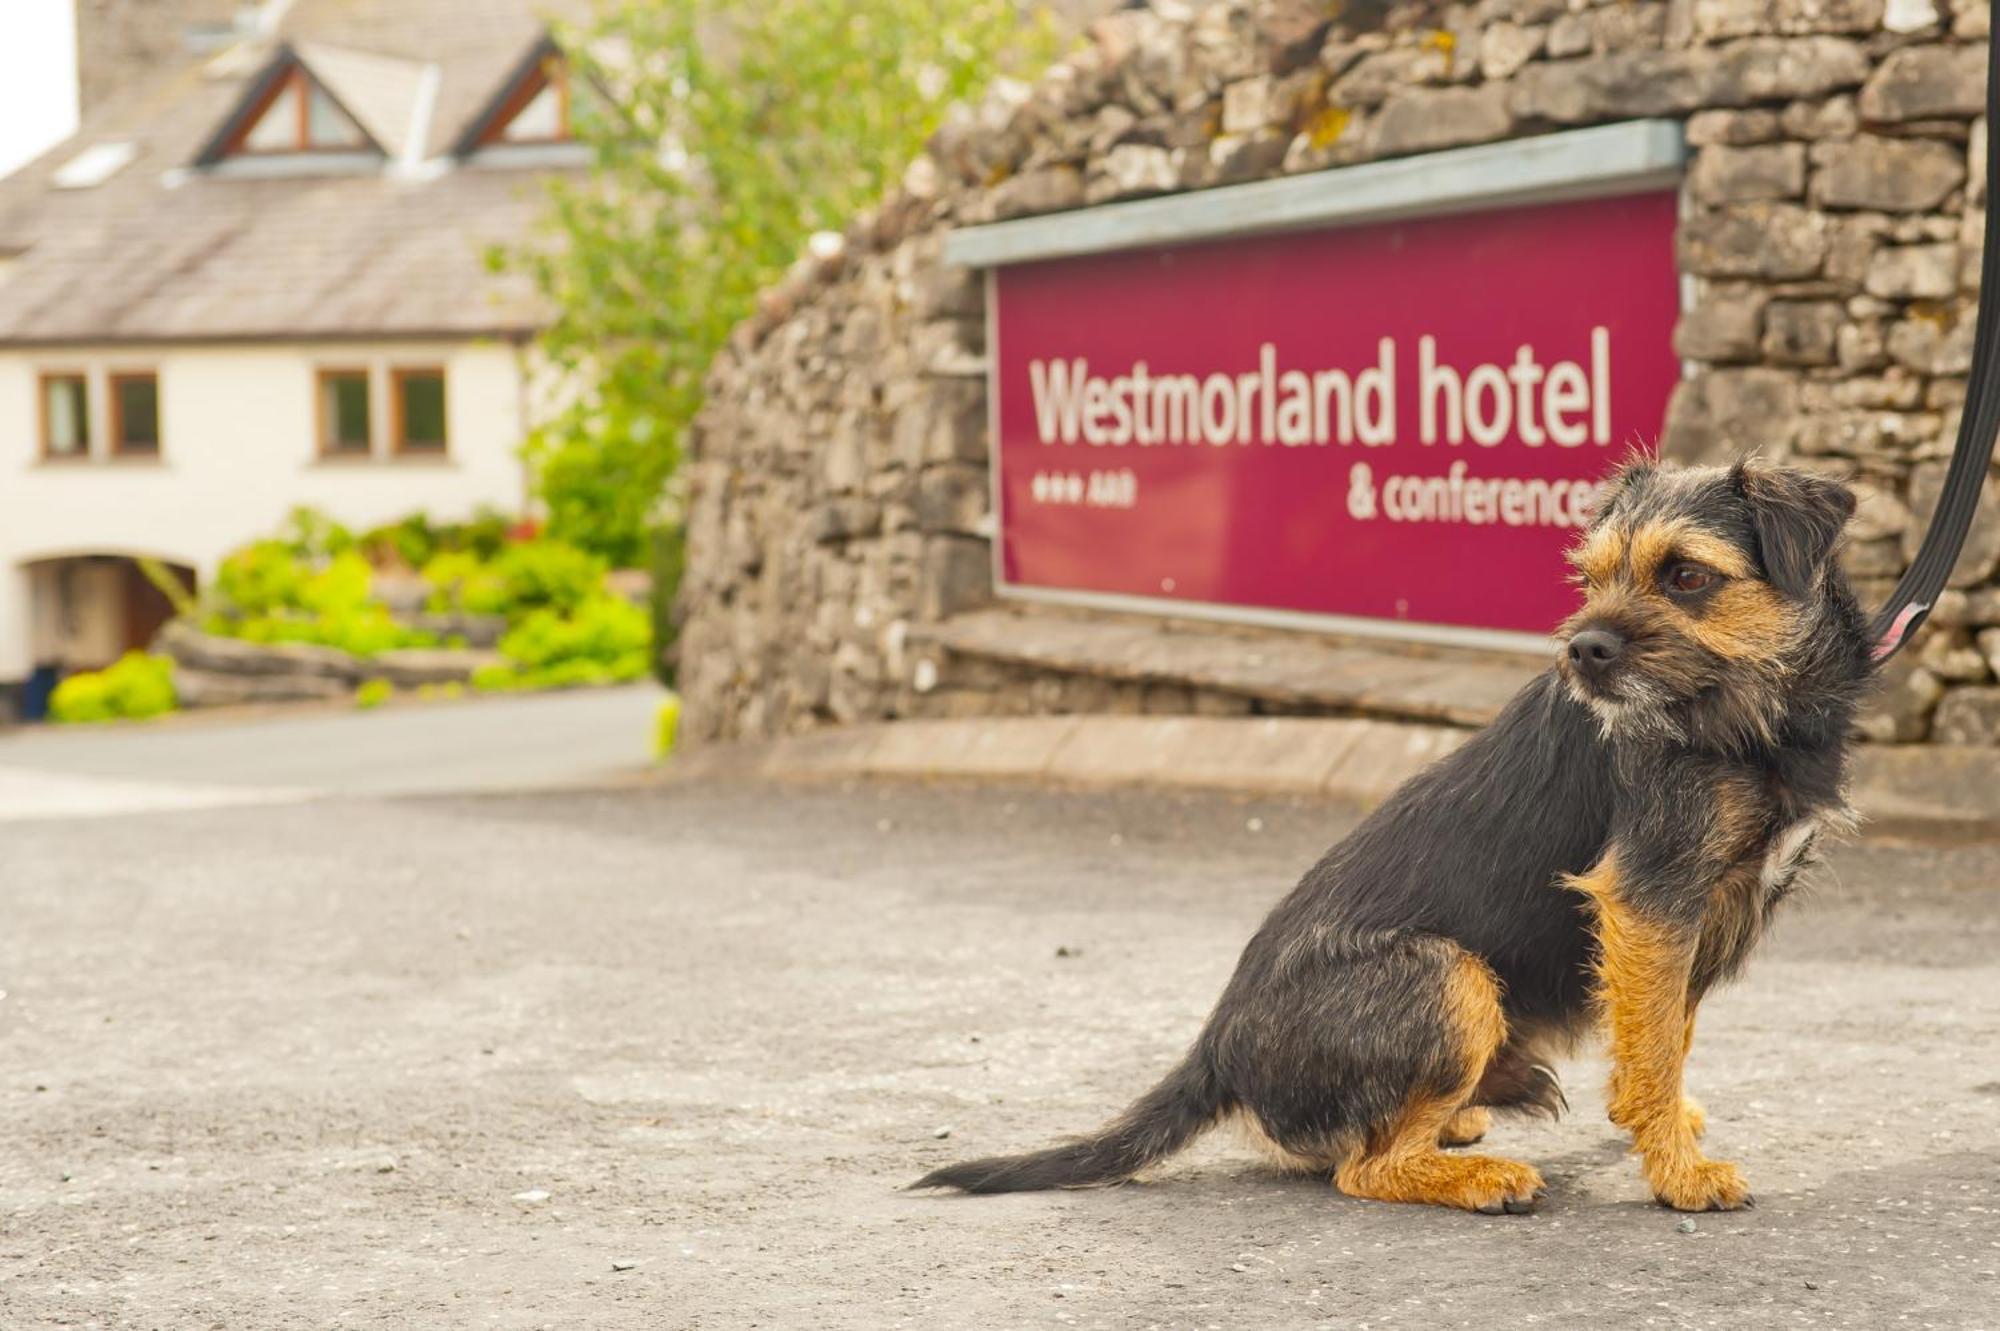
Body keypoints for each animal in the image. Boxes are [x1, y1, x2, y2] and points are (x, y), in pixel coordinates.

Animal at [916, 459, 1880, 1215]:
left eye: (1685, 575)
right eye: (1594, 575)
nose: (1583, 651)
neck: (1746, 717)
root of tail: (1218, 1044)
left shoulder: (1691, 915)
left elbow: (1667, 1030)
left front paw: (1667, 1126)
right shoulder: (1651, 899)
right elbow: (1650, 1045)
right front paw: (1677, 1170)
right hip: (1448, 976)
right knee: (1364, 1168)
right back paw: (1481, 1176)